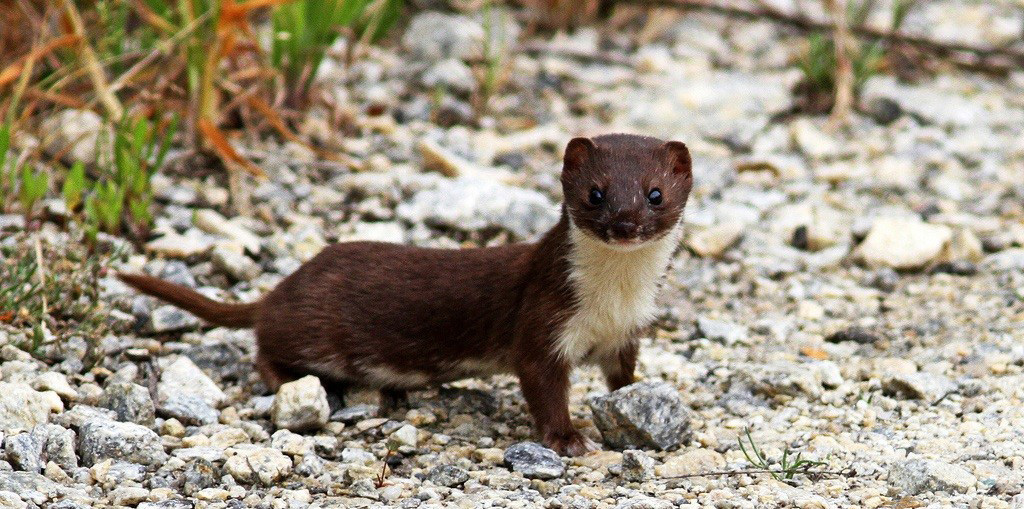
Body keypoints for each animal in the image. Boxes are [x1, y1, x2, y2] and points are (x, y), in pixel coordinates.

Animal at [119, 133, 696, 454]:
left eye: (655, 194)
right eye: (595, 193)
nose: (624, 224)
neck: (612, 299)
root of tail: (285, 285)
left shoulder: (628, 332)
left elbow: (624, 379)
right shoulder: (543, 320)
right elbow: (542, 385)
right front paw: (569, 439)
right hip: (312, 331)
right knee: (266, 347)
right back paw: (306, 386)